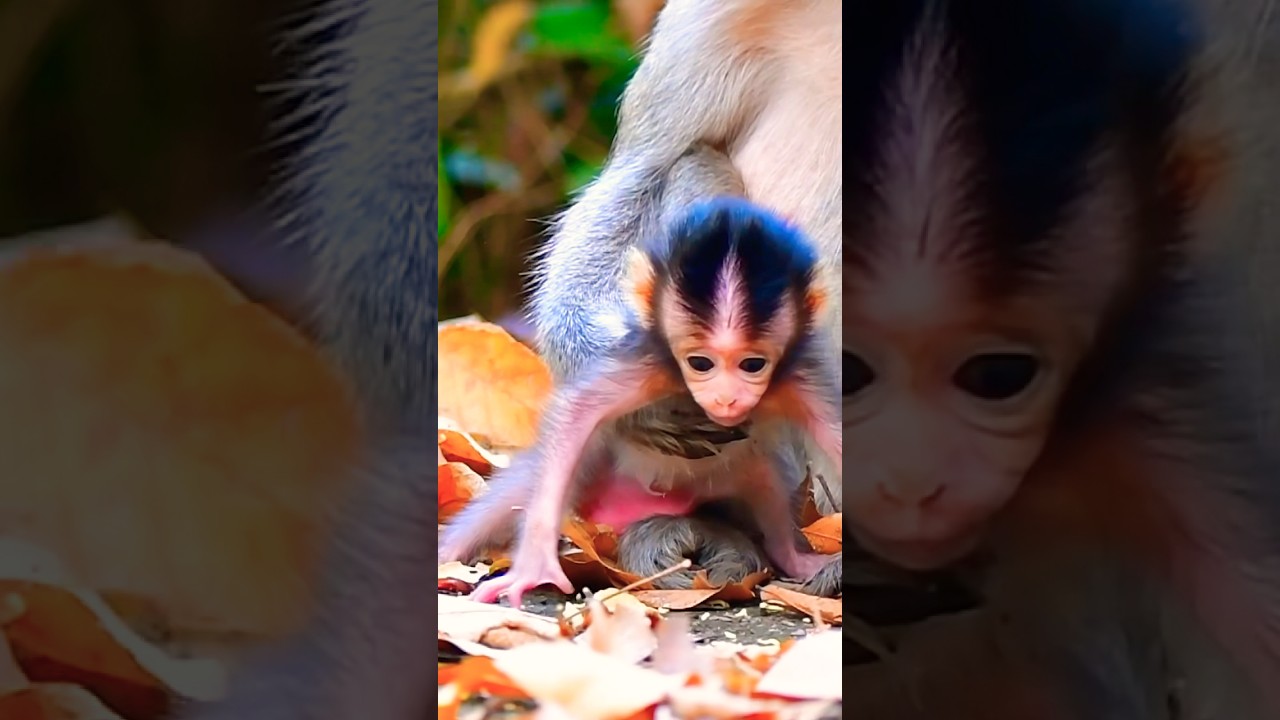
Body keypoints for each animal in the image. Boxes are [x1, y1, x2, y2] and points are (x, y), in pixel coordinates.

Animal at [439, 197, 842, 608]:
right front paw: (533, 565)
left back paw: (794, 558)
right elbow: (576, 413)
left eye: (752, 364)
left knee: (766, 482)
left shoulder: (803, 376)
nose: (726, 398)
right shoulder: (648, 363)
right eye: (701, 363)